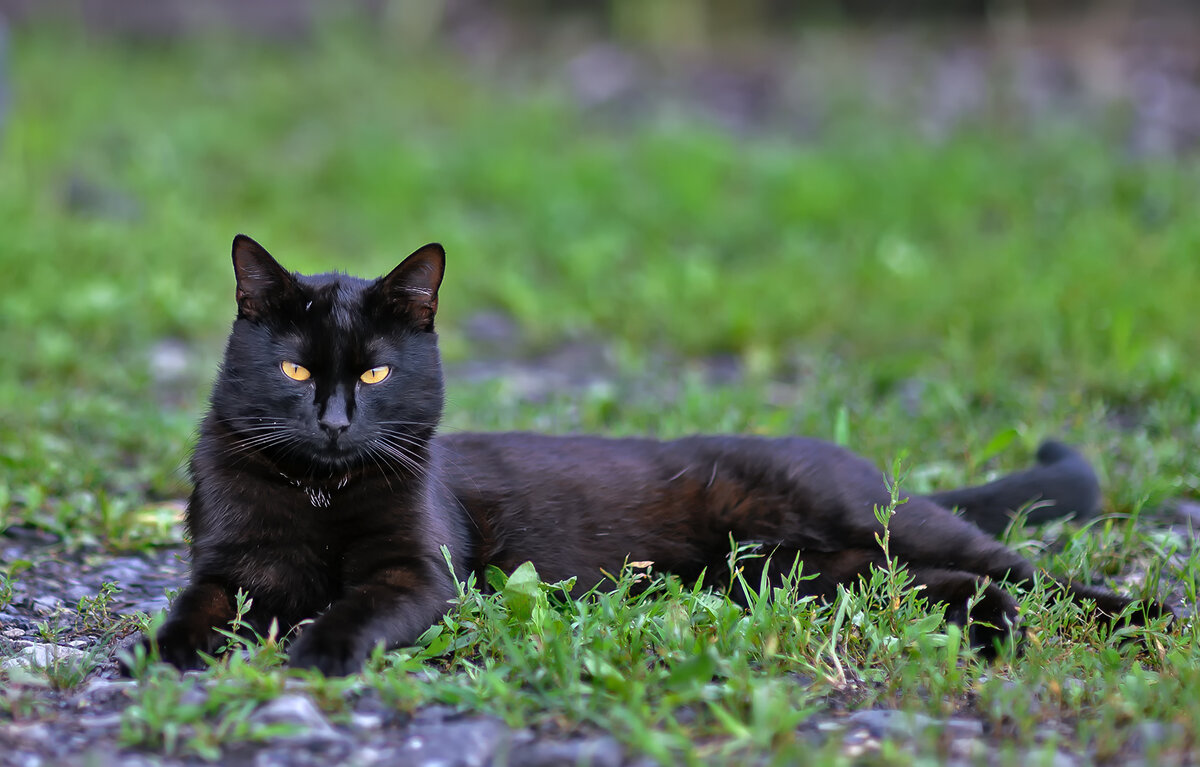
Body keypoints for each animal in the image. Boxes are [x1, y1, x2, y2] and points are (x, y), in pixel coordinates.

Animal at [136, 237, 1166, 676]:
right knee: (944, 583)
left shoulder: (418, 571)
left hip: (859, 526)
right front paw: (172, 649)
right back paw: (994, 630)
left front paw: (320, 647)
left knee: (1020, 565)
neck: (321, 492)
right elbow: (201, 601)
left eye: (378, 371)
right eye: (296, 367)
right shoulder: (232, 564)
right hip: (807, 575)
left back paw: (1137, 616)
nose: (337, 420)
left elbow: (360, 605)